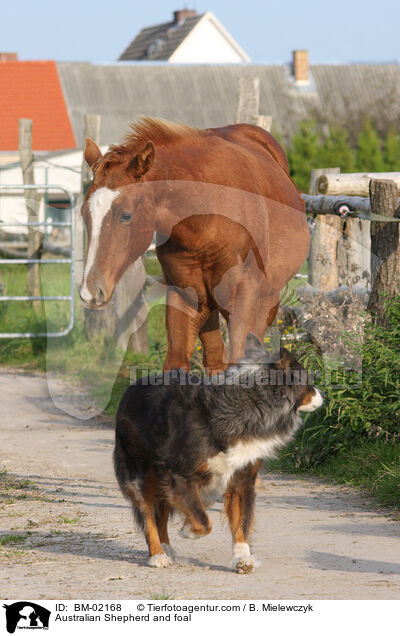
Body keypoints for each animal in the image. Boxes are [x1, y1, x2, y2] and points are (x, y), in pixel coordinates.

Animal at [114, 336, 324, 572]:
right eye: (308, 382)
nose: (322, 396)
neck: (250, 405)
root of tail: (131, 387)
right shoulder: (180, 474)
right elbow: (204, 521)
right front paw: (188, 530)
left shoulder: (242, 475)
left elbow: (241, 519)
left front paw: (243, 558)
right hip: (140, 468)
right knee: (148, 510)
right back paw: (158, 554)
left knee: (164, 509)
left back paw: (166, 546)